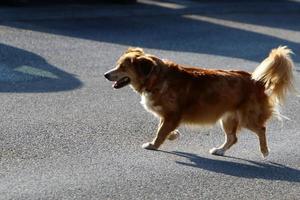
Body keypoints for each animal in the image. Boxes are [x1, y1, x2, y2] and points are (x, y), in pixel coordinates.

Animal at [104, 47, 294, 158]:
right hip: (227, 118)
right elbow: (164, 129)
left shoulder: (172, 114)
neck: (157, 78)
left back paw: (265, 151)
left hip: (247, 117)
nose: (105, 74)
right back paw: (220, 150)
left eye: (122, 67)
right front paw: (173, 135)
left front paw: (153, 145)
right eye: (117, 65)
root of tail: (257, 81)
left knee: (261, 129)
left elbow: (160, 132)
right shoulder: (167, 116)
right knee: (233, 138)